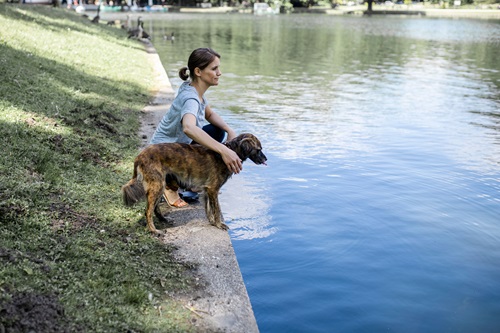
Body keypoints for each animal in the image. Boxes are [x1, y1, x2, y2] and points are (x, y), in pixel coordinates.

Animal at [121, 132, 268, 233]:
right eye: (259, 150)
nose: (266, 159)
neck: (230, 151)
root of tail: (140, 156)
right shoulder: (213, 189)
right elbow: (216, 209)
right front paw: (219, 224)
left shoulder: (207, 190)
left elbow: (209, 209)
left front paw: (212, 222)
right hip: (157, 185)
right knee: (148, 211)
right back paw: (153, 230)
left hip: (159, 185)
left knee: (155, 208)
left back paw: (163, 220)